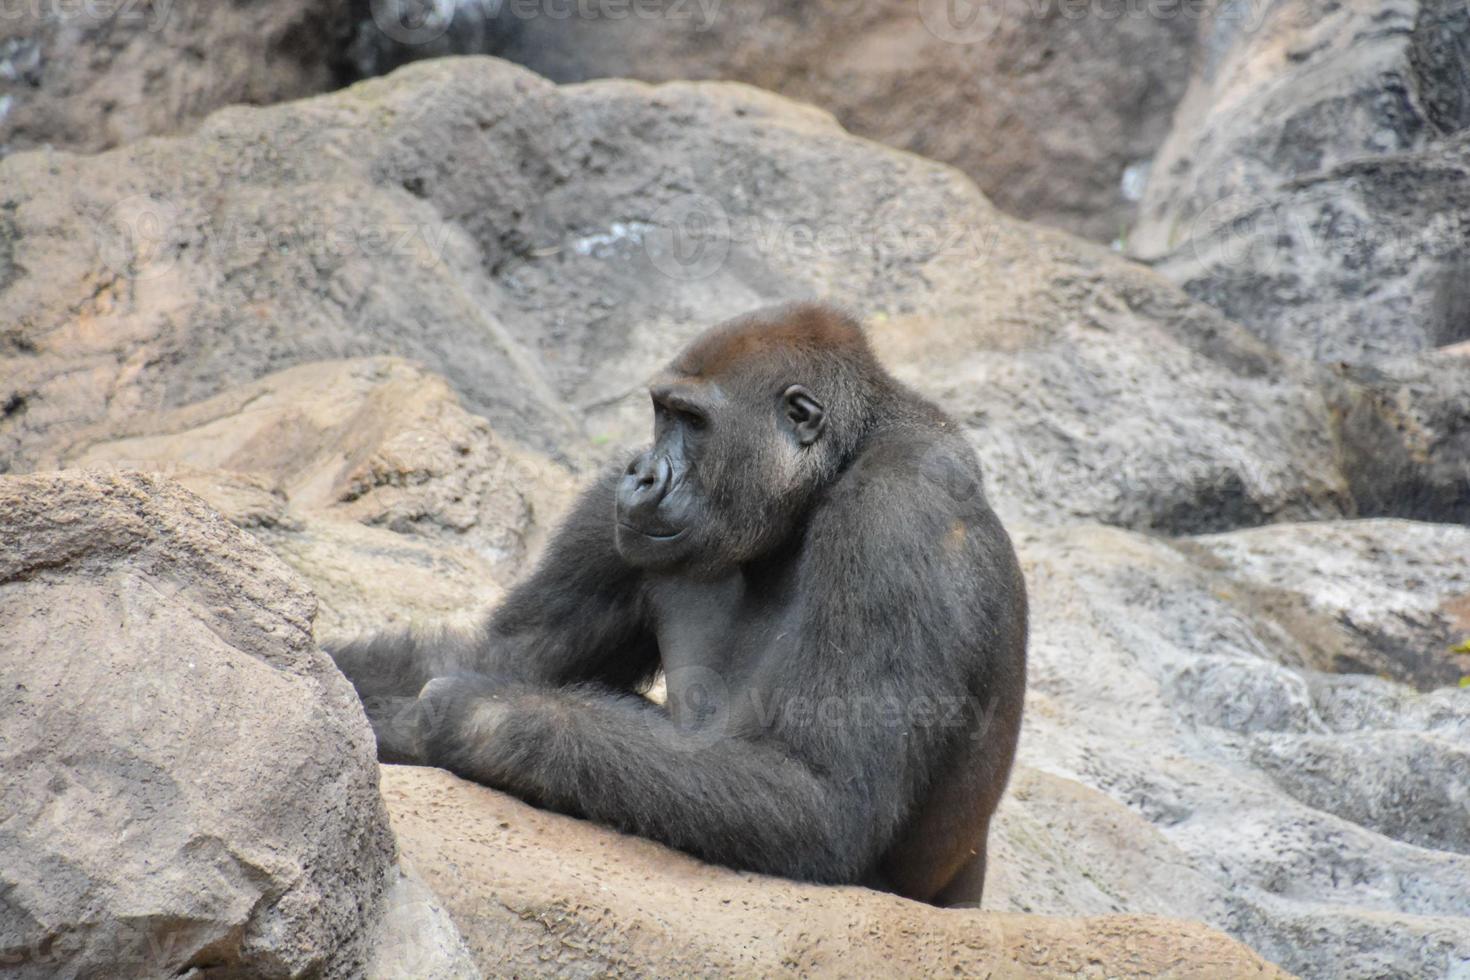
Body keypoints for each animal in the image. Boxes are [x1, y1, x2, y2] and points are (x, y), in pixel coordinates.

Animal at [327, 302, 1029, 910]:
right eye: (661, 413)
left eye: (692, 421)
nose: (640, 472)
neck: (833, 467)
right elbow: (502, 652)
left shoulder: (898, 512)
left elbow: (823, 796)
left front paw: (471, 717)